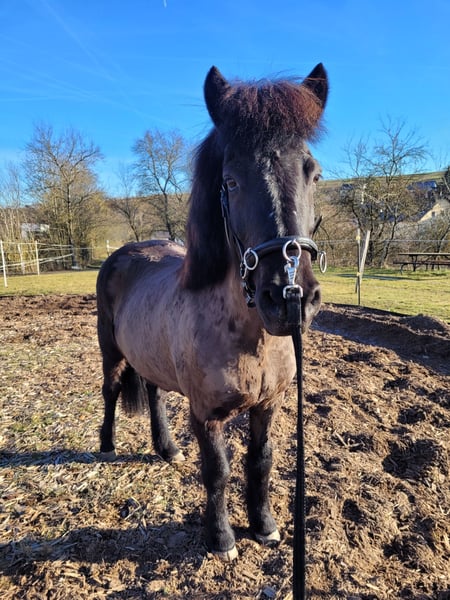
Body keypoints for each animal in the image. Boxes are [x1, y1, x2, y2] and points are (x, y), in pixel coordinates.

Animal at [96, 63, 328, 562]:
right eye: (232, 181)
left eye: (314, 174)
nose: (289, 296)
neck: (249, 338)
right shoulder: (206, 415)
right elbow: (218, 470)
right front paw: (221, 538)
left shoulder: (268, 406)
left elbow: (260, 462)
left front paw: (264, 527)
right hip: (110, 349)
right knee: (109, 390)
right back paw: (105, 446)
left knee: (154, 393)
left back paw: (166, 449)